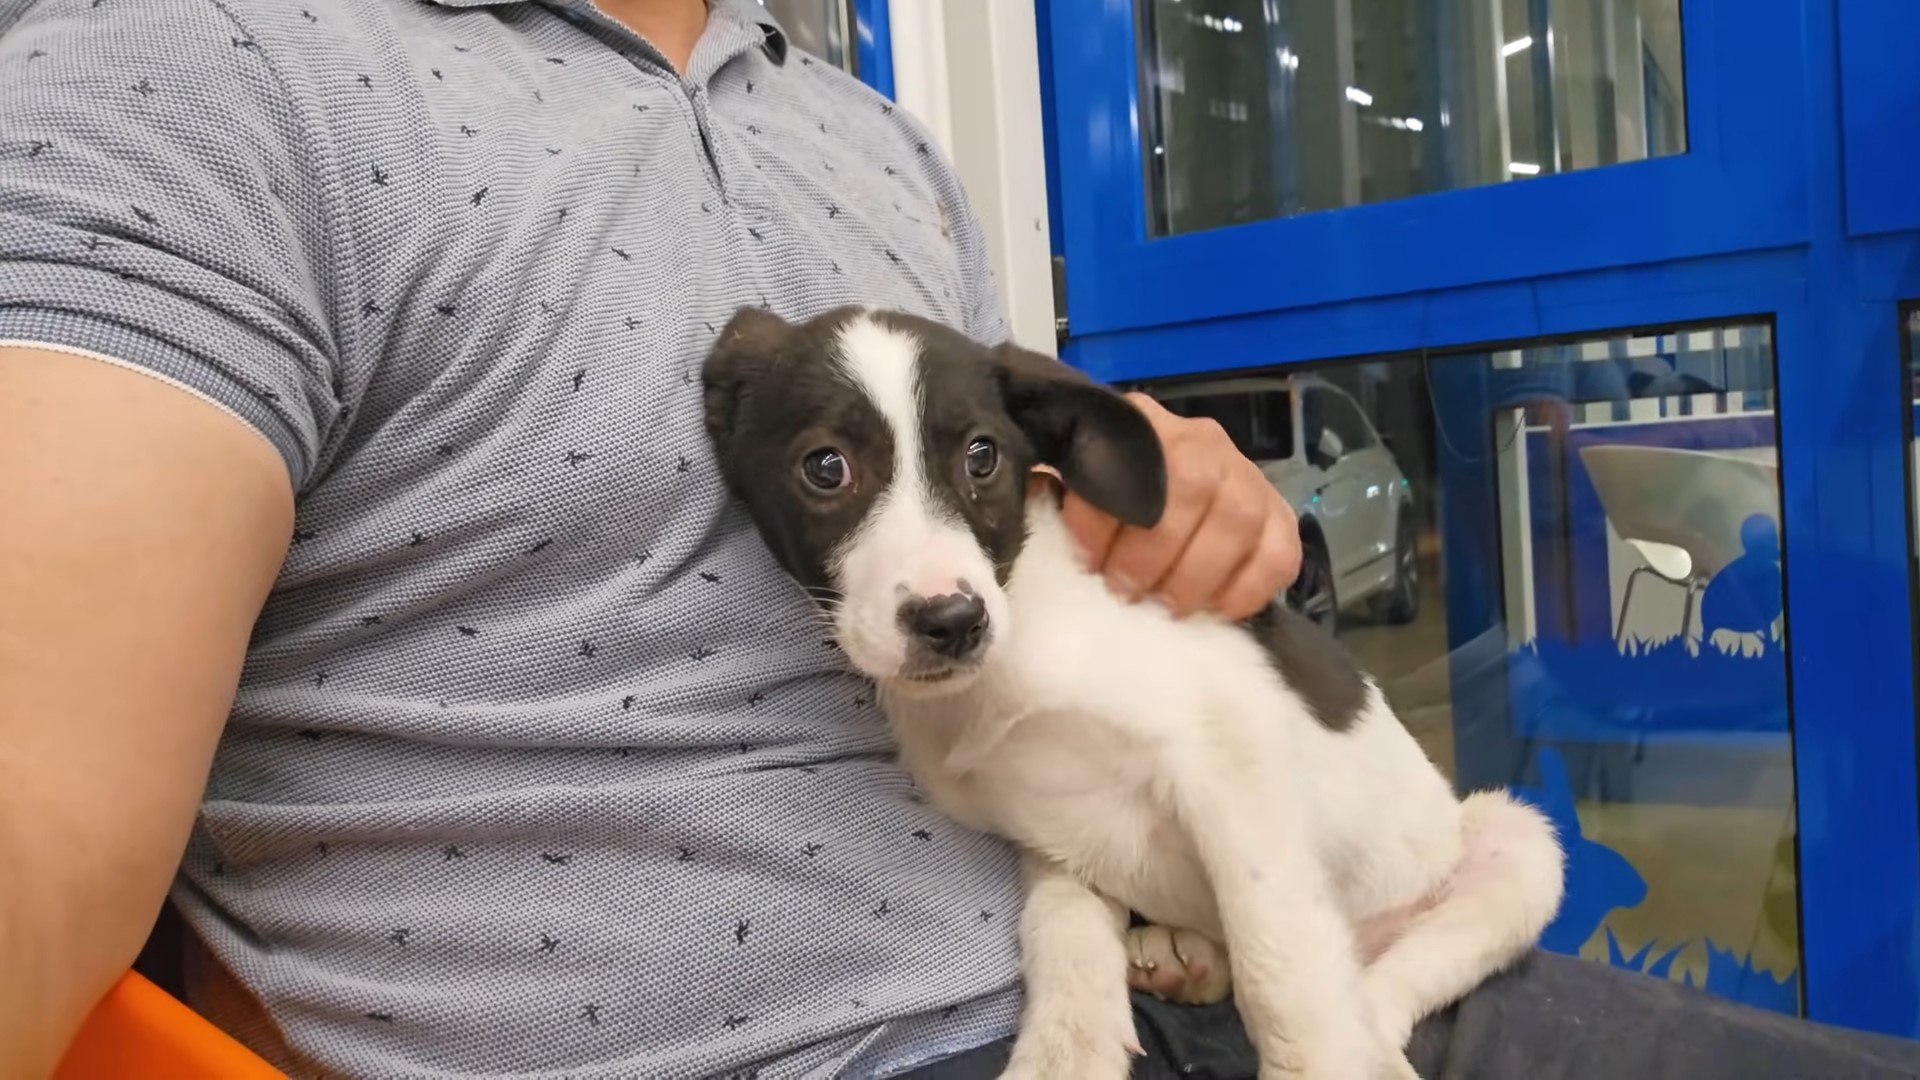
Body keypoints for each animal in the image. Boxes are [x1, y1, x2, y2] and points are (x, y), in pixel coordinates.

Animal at [698, 305, 1566, 1076]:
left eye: (983, 457)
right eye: (825, 467)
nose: (953, 622)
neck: (1011, 658)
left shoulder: (1233, 763)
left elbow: (1278, 966)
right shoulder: (1053, 837)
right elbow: (1063, 938)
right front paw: (1064, 1054)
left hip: (1516, 847)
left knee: (1377, 991)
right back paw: (1187, 956)